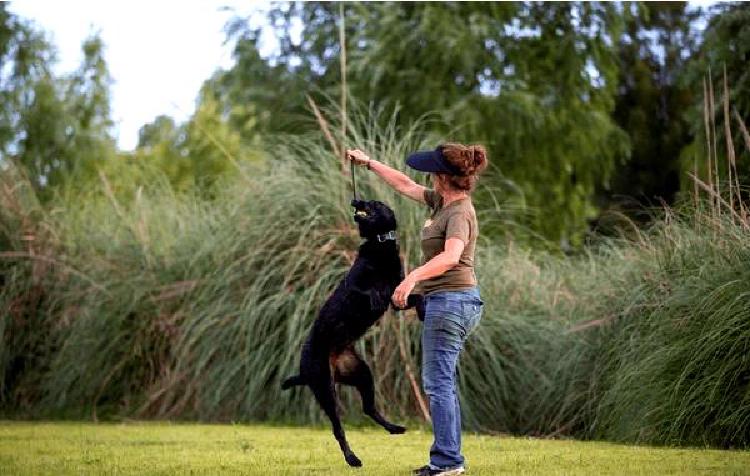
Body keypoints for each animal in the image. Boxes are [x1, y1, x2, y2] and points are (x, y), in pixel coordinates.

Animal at [282, 199, 424, 466]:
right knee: (338, 429)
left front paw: (422, 311)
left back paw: (394, 428)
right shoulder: (360, 288)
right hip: (326, 389)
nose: (355, 201)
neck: (379, 243)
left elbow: (417, 296)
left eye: (375, 203)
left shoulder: (397, 296)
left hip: (362, 374)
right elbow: (369, 292)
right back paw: (352, 458)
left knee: (368, 408)